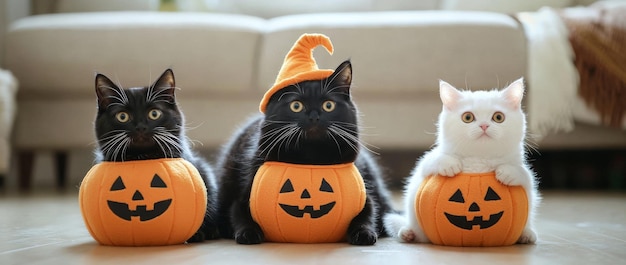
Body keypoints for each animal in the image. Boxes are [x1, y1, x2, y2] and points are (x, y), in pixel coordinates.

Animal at [212, 60, 392, 244]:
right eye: (296, 106)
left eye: (328, 105)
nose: (313, 117)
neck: (310, 156)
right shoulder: (242, 196)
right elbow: (239, 216)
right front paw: (248, 233)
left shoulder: (365, 197)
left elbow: (367, 215)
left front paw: (364, 234)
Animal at [386, 78, 536, 243]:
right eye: (467, 117)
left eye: (498, 117)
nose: (484, 125)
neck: (479, 157)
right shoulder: (424, 166)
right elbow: (429, 161)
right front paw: (449, 164)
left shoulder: (525, 176)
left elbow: (525, 175)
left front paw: (508, 172)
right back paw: (408, 232)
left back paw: (527, 234)